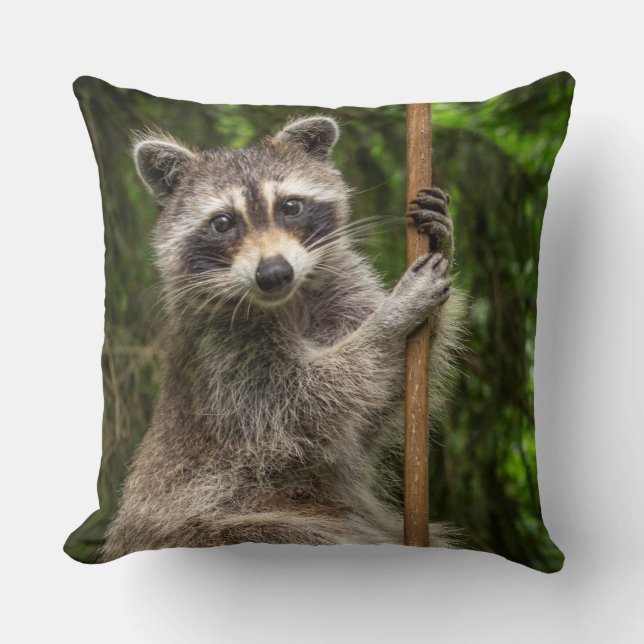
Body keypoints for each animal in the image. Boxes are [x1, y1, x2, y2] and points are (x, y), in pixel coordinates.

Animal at [98, 115, 463, 562]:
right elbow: (304, 401)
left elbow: (375, 413)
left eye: (291, 207)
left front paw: (444, 243)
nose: (274, 273)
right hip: (220, 525)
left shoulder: (343, 289)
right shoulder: (222, 354)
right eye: (223, 223)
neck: (288, 301)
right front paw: (387, 322)